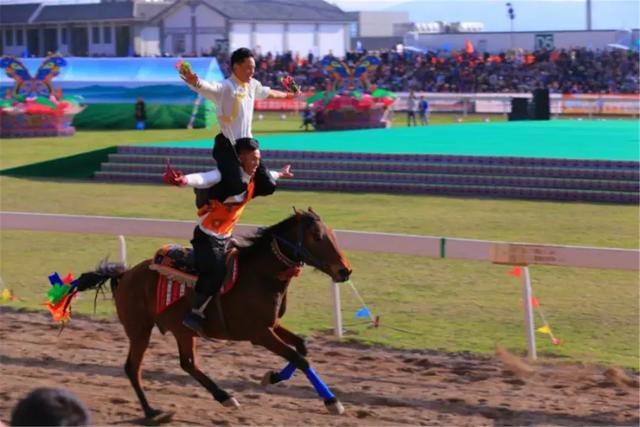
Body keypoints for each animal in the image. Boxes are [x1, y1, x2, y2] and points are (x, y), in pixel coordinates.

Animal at [72, 209, 352, 422]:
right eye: (317, 236)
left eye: (332, 234)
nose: (345, 270)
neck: (259, 275)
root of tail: (125, 274)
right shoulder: (258, 333)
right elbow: (299, 358)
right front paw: (332, 401)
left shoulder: (272, 324)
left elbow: (301, 348)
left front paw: (271, 377)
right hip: (140, 329)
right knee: (133, 368)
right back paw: (152, 412)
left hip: (183, 330)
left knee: (187, 363)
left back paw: (225, 397)